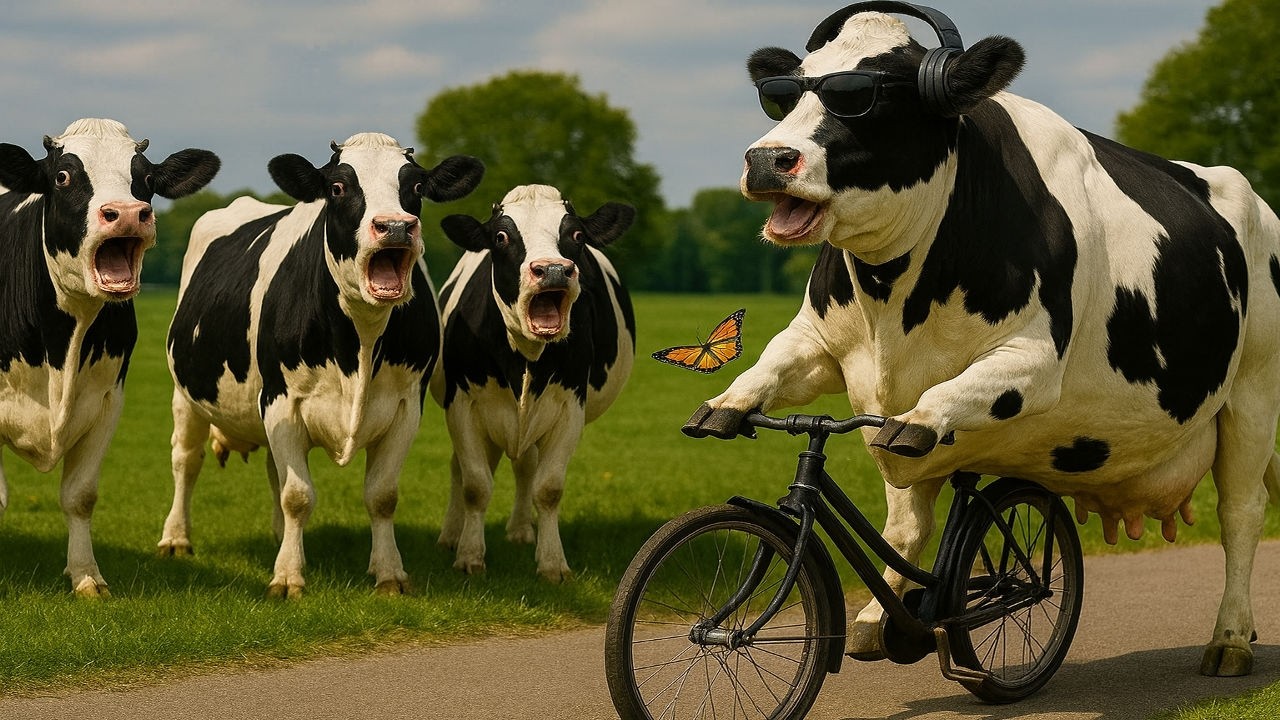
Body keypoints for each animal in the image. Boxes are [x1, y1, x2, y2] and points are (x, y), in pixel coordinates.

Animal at [0, 118, 220, 596]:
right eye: (63, 176)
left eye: (146, 179)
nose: (127, 212)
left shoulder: (106, 400)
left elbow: (80, 496)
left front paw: (86, 575)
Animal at [158, 132, 483, 598]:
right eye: (338, 187)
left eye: (418, 187)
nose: (396, 226)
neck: (360, 342)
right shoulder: (282, 400)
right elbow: (298, 496)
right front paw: (288, 577)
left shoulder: (407, 406)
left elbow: (382, 494)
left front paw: (388, 572)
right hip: (186, 395)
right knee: (186, 460)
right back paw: (176, 539)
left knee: (272, 471)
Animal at [430, 184, 636, 582]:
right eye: (501, 236)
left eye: (577, 235)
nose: (553, 269)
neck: (525, 355)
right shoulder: (462, 406)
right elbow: (476, 484)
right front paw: (469, 555)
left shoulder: (570, 408)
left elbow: (548, 488)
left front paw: (552, 562)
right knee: (459, 469)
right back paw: (450, 534)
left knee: (525, 466)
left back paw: (522, 530)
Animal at [682, 2, 1280, 677]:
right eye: (784, 94)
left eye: (867, 95)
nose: (767, 158)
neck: (894, 301)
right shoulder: (820, 344)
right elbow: (773, 368)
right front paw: (726, 404)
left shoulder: (1033, 361)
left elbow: (931, 411)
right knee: (909, 521)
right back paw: (878, 618)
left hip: (1254, 389)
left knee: (1240, 513)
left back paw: (1230, 639)